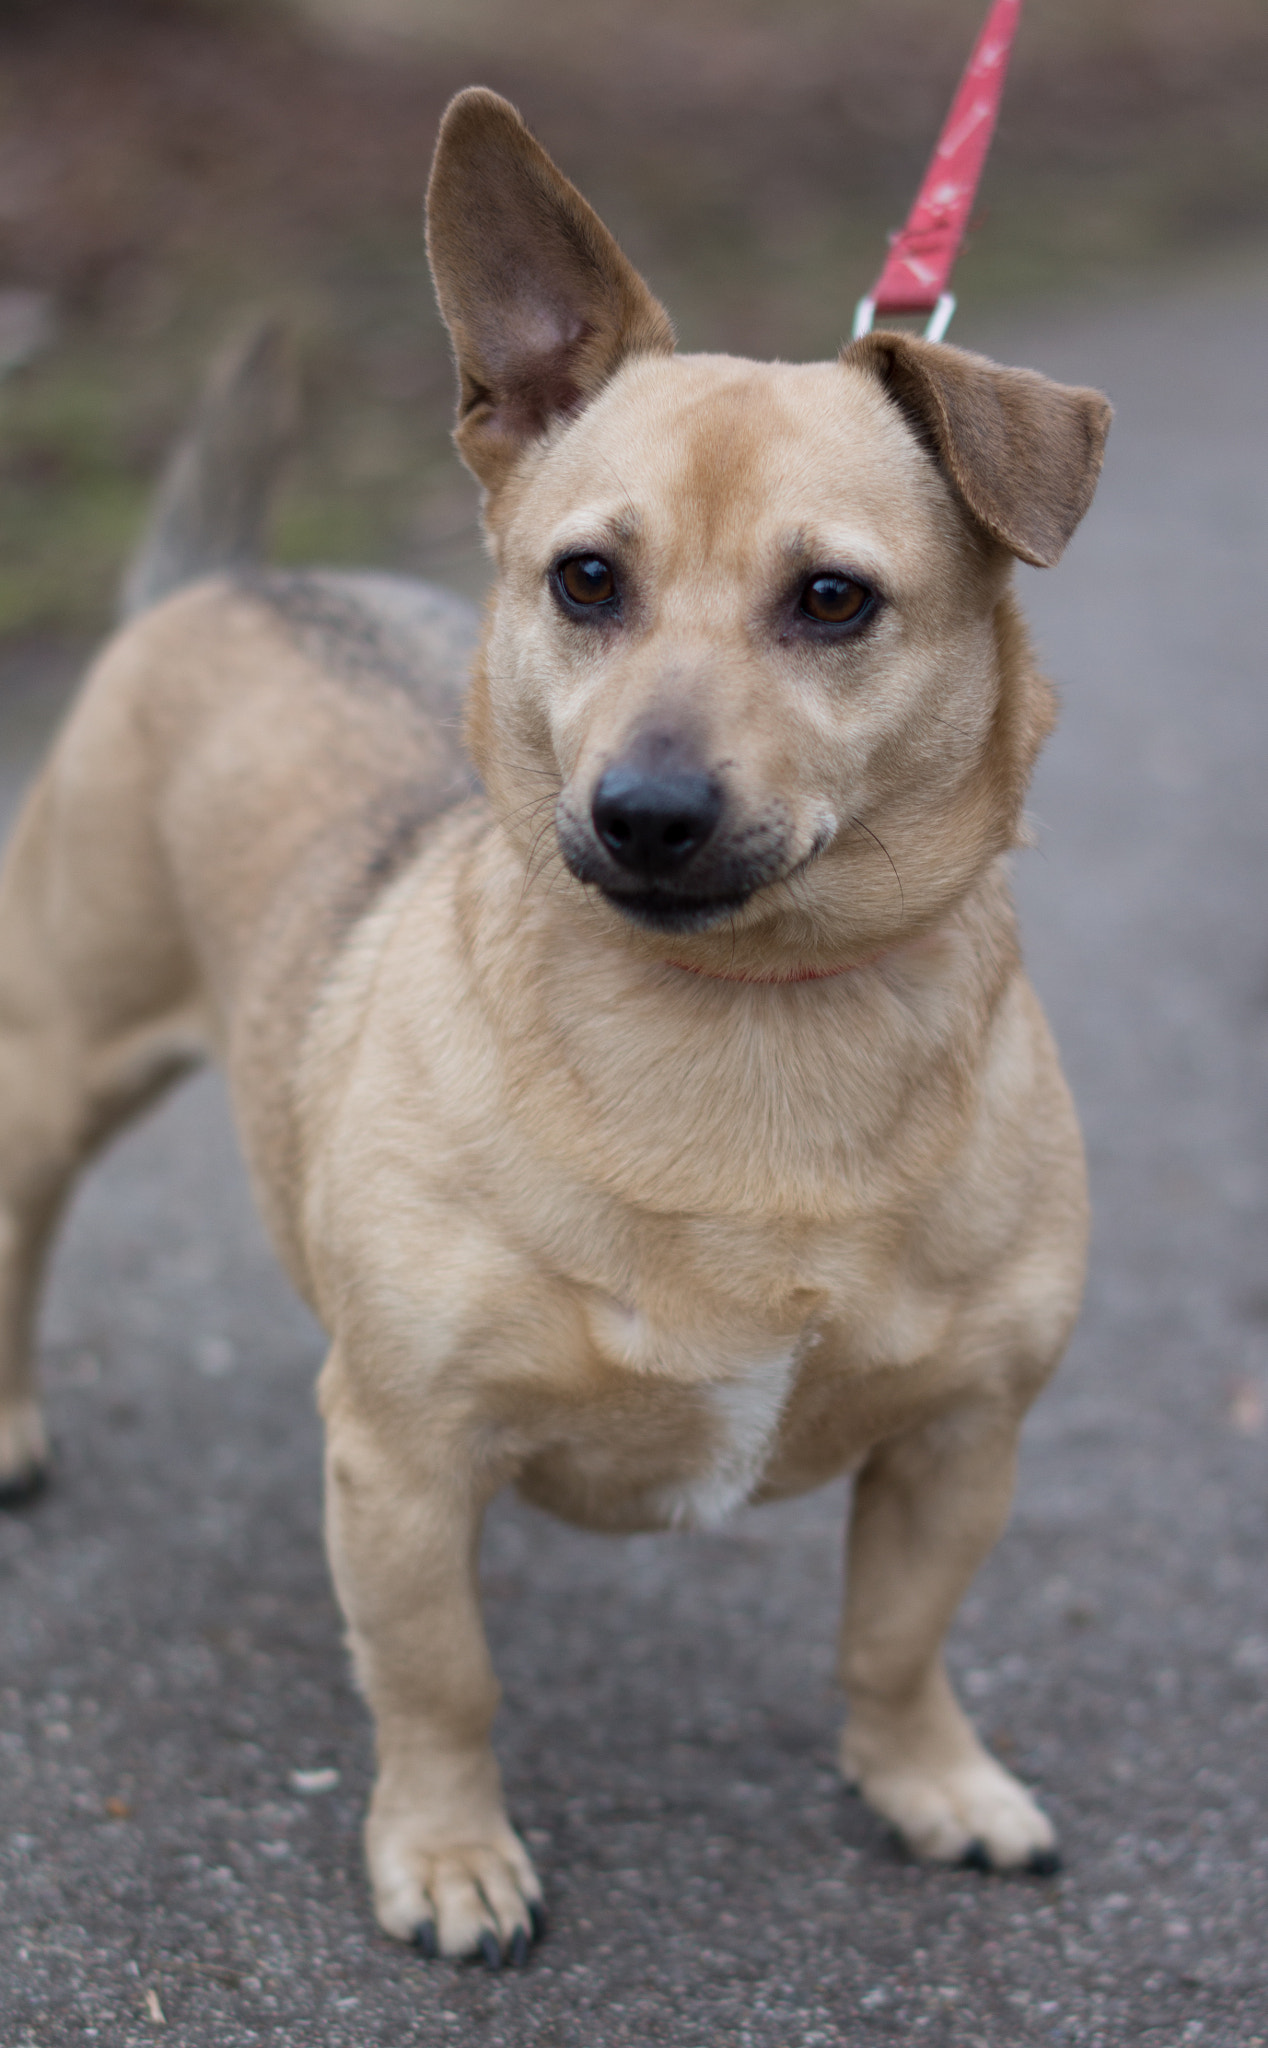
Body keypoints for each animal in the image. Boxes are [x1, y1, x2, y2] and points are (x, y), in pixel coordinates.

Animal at [0, 96, 1114, 1966]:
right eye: (585, 580)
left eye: (833, 601)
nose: (645, 812)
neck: (746, 1018)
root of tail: (218, 584)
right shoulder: (402, 1458)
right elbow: (437, 1677)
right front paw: (448, 1854)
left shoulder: (961, 1442)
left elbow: (894, 1641)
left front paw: (929, 1781)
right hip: (51, 1066)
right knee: (20, 1232)